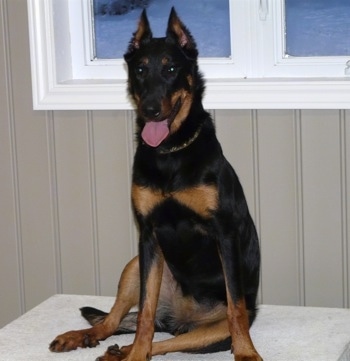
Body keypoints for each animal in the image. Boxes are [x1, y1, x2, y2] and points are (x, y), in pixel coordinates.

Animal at [49, 8, 262, 360]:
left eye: (171, 69)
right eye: (140, 69)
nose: (150, 109)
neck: (170, 152)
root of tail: (178, 317)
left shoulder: (225, 233)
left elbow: (235, 308)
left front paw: (246, 352)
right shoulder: (149, 235)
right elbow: (144, 313)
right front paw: (136, 352)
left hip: (206, 333)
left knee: (173, 340)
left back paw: (120, 350)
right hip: (136, 265)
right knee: (117, 320)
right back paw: (92, 339)